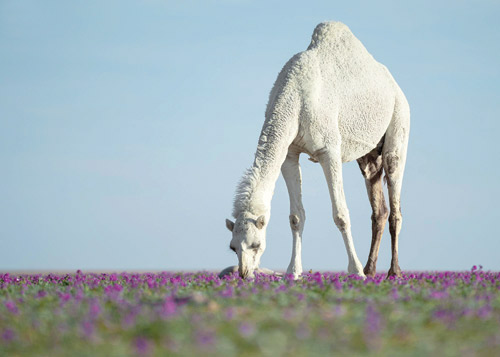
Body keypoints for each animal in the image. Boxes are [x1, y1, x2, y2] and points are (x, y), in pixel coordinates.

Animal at [225, 20, 408, 280]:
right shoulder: (289, 153)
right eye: (232, 247)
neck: (294, 98)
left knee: (395, 201)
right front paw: (293, 272)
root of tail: (395, 85)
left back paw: (393, 272)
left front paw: (354, 271)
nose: (244, 273)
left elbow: (341, 214)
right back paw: (371, 270)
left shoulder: (328, 149)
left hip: (399, 122)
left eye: (256, 244)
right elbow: (296, 216)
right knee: (378, 206)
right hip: (369, 156)